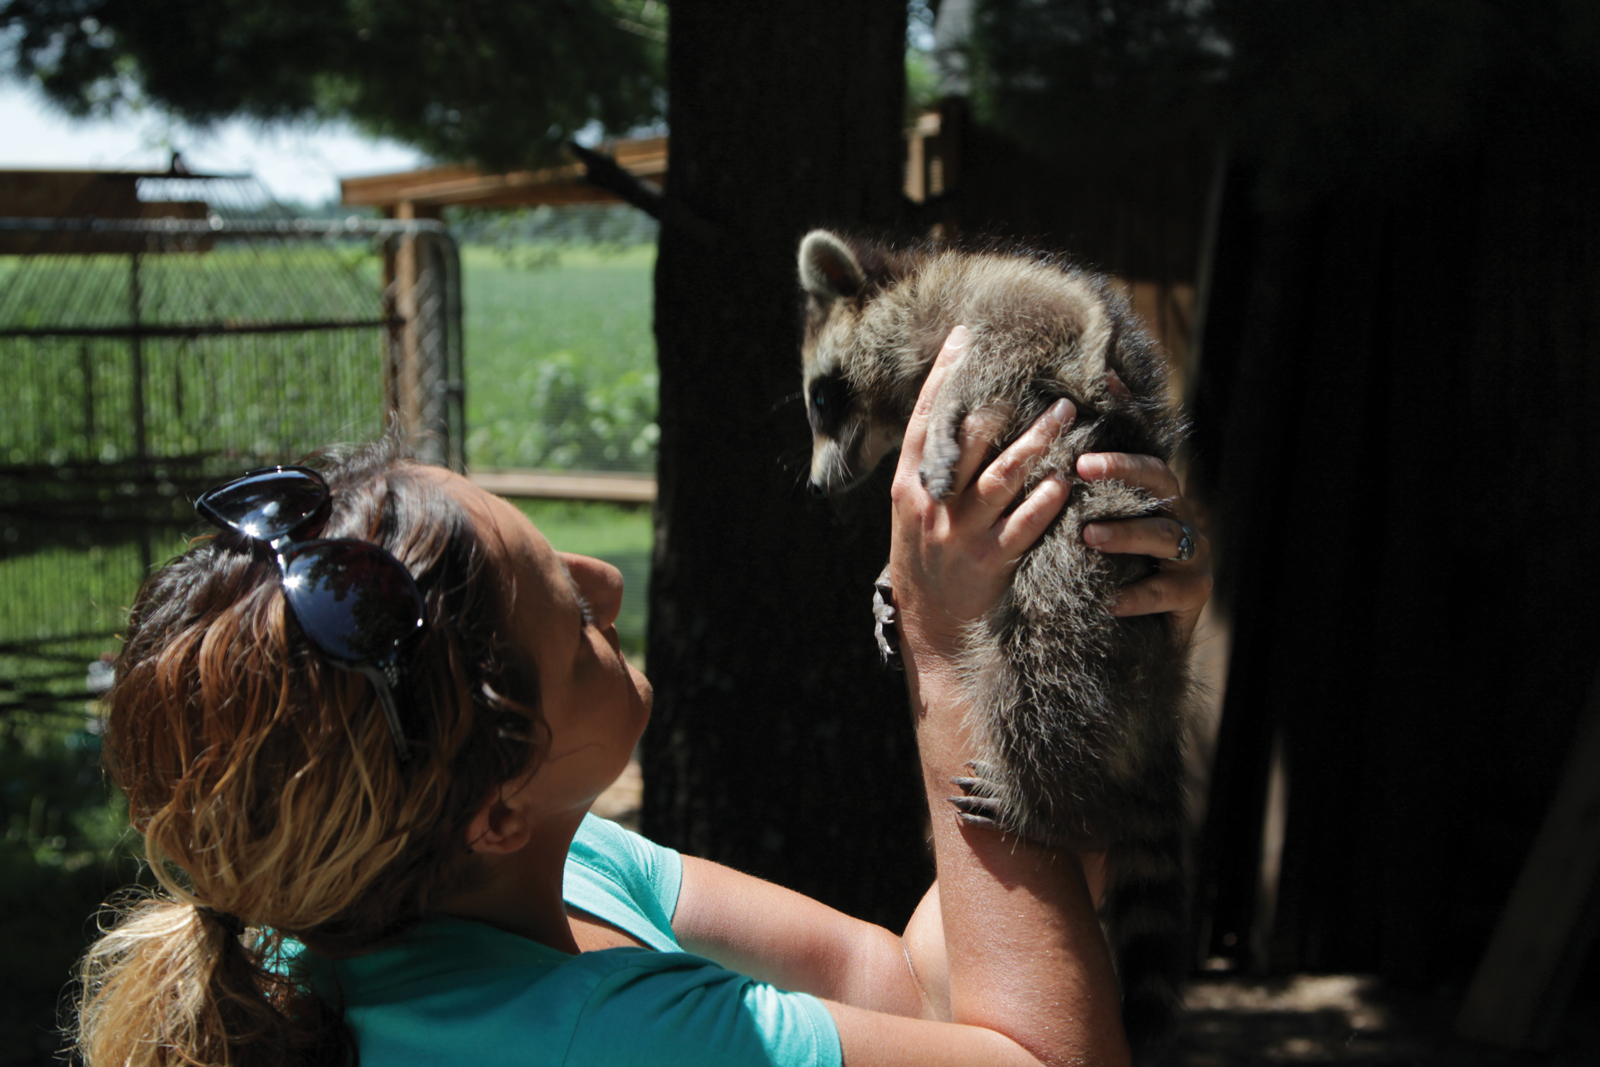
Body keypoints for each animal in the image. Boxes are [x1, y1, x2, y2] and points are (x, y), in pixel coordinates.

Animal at [796, 227, 1190, 1049]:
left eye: (821, 395)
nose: (816, 486)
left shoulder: (1005, 299)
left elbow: (1030, 327)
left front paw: (949, 412)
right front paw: (886, 574)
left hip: (1089, 534)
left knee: (1042, 646)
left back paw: (1046, 803)